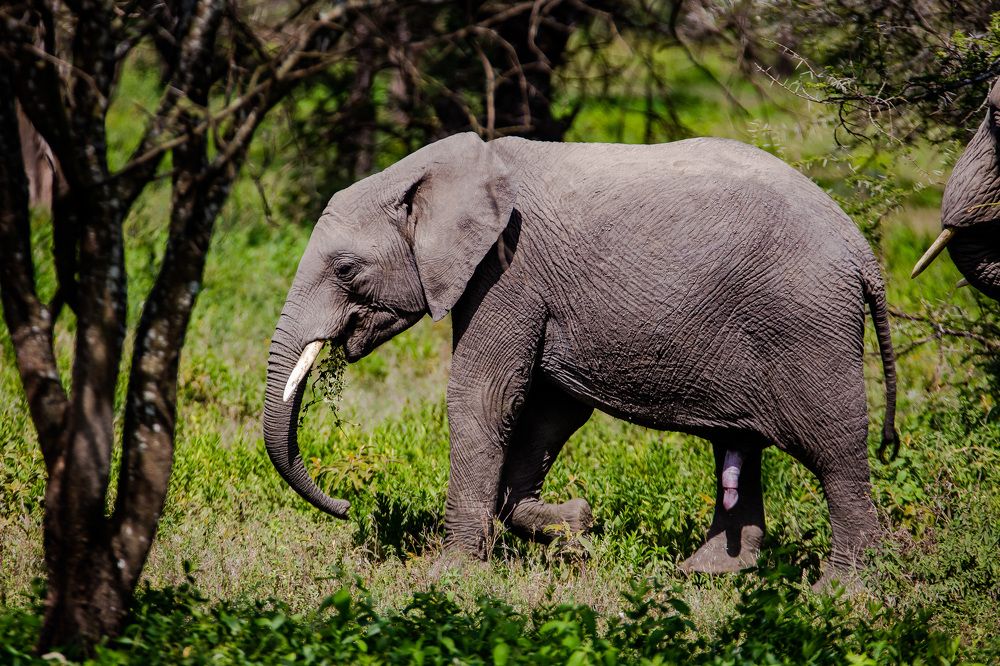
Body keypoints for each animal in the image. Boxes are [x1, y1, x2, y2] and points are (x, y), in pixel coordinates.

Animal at [263, 131, 898, 583]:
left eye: (346, 269)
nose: (346, 505)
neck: (446, 169)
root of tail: (862, 251)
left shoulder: (509, 271)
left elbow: (483, 398)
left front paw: (449, 577)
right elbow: (550, 409)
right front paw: (575, 525)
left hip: (807, 324)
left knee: (835, 450)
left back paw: (840, 591)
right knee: (736, 445)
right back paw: (706, 572)